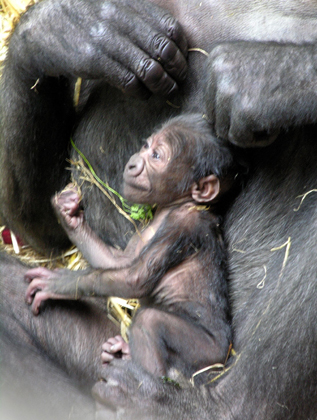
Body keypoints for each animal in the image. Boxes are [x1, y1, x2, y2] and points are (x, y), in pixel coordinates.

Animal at [25, 113, 235, 378]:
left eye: (156, 156)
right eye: (145, 146)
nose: (135, 163)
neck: (174, 206)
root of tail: (225, 355)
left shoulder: (183, 224)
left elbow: (135, 278)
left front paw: (62, 283)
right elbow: (119, 261)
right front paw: (68, 214)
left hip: (207, 352)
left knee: (150, 323)